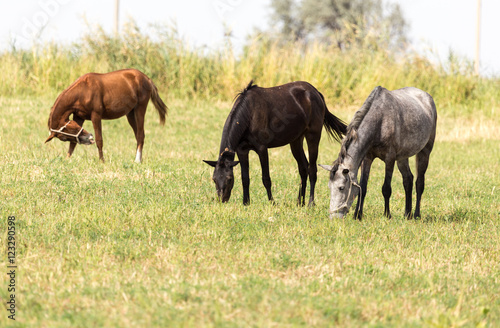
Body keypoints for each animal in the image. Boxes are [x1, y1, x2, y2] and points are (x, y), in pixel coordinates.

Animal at [203, 80, 348, 206]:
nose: (222, 200)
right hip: (296, 140)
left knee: (312, 169)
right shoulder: (242, 150)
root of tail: (316, 92)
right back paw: (299, 202)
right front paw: (246, 203)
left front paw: (272, 202)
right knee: (303, 168)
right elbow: (245, 178)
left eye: (229, 179)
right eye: (214, 179)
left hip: (313, 135)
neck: (249, 114)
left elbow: (266, 178)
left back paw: (311, 203)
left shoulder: (262, 149)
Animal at [322, 86, 436, 220]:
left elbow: (386, 188)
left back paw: (417, 215)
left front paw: (387, 215)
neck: (380, 120)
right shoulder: (367, 158)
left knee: (419, 183)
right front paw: (357, 215)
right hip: (402, 157)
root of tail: (428, 97)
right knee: (408, 180)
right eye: (329, 187)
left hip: (424, 152)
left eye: (341, 188)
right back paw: (407, 214)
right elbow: (363, 187)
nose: (333, 217)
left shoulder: (390, 159)